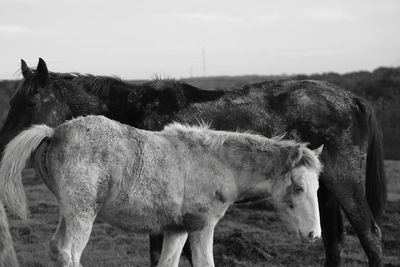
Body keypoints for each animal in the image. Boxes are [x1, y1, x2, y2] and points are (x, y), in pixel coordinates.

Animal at [0, 59, 388, 267]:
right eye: (13, 99)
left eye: (30, 101)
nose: (2, 145)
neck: (134, 111)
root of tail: (353, 99)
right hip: (328, 193)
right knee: (334, 241)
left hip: (344, 185)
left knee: (370, 234)